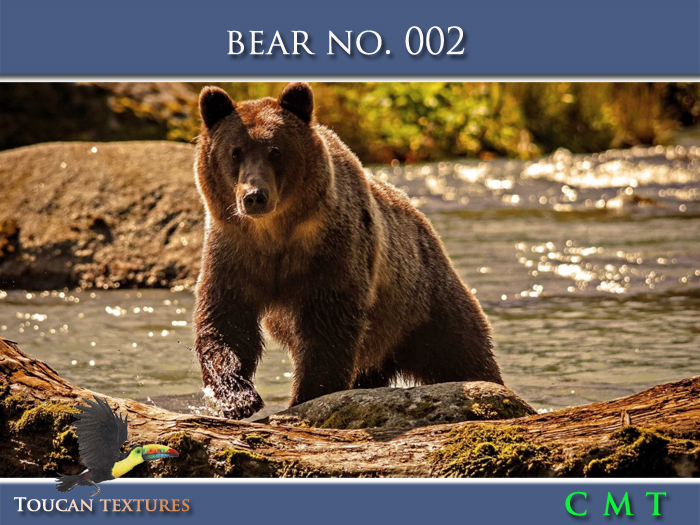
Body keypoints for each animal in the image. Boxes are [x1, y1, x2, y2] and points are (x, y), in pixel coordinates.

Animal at [193, 82, 503, 419]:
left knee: (462, 351)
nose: (254, 196)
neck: (275, 234)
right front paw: (237, 397)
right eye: (234, 152)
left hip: (422, 302)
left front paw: (306, 395)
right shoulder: (234, 251)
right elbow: (226, 321)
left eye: (275, 150)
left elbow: (328, 328)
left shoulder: (332, 252)